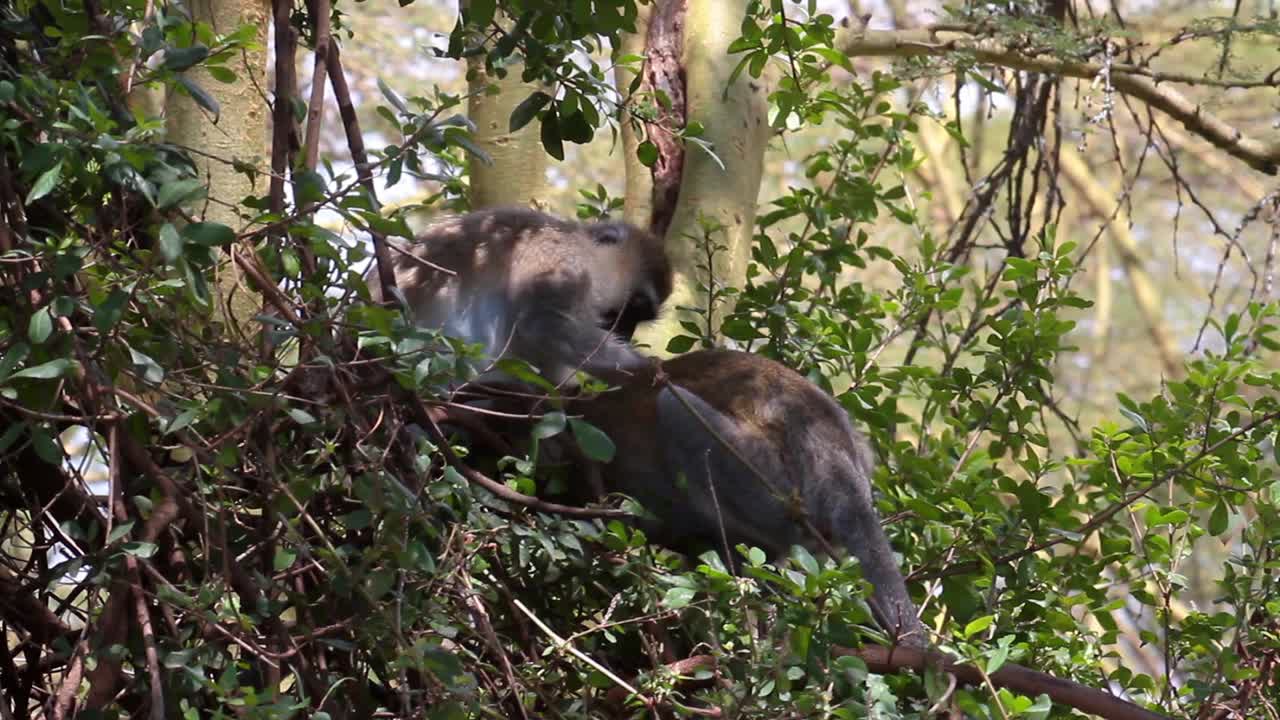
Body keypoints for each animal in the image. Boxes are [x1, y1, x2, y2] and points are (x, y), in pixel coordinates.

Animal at [366, 207, 675, 386]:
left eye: (638, 319)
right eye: (628, 311)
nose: (625, 334)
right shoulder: (563, 262)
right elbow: (543, 324)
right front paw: (644, 366)